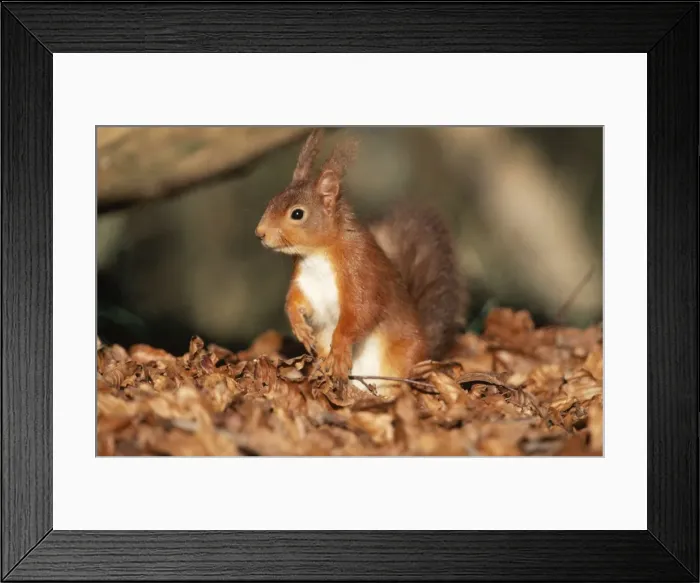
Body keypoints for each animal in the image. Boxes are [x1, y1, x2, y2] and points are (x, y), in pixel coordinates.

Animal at [254, 128, 467, 396]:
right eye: (272, 201)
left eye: (297, 213)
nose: (260, 233)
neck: (317, 255)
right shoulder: (304, 282)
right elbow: (295, 301)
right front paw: (300, 328)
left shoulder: (360, 272)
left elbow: (360, 313)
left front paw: (340, 350)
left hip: (401, 358)